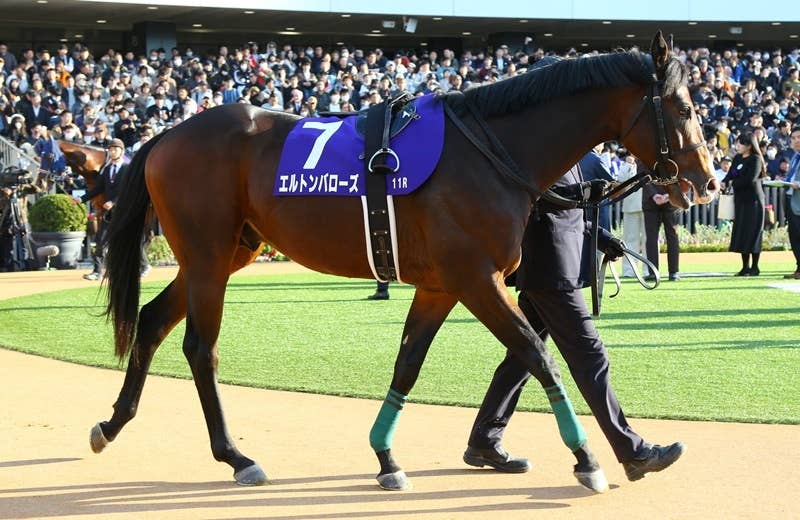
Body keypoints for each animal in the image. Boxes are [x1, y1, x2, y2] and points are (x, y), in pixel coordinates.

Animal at [91, 32, 717, 492]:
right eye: (684, 106)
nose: (708, 181)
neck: (489, 149)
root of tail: (165, 135)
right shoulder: (476, 278)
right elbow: (539, 355)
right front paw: (589, 458)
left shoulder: (442, 285)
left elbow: (408, 365)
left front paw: (387, 458)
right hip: (208, 256)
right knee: (201, 348)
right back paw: (236, 456)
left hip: (224, 255)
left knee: (150, 320)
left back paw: (112, 423)